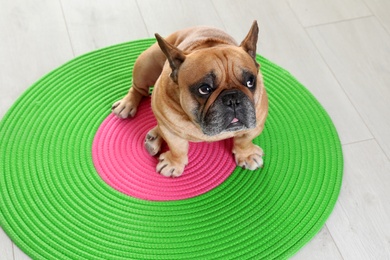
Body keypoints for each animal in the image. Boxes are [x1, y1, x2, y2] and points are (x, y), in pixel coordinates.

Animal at [111, 21, 266, 178]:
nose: (233, 99)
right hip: (146, 63)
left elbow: (244, 140)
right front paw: (174, 163)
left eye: (250, 82)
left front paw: (247, 154)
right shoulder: (171, 132)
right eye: (204, 89)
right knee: (138, 89)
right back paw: (127, 104)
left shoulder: (256, 124)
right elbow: (177, 148)